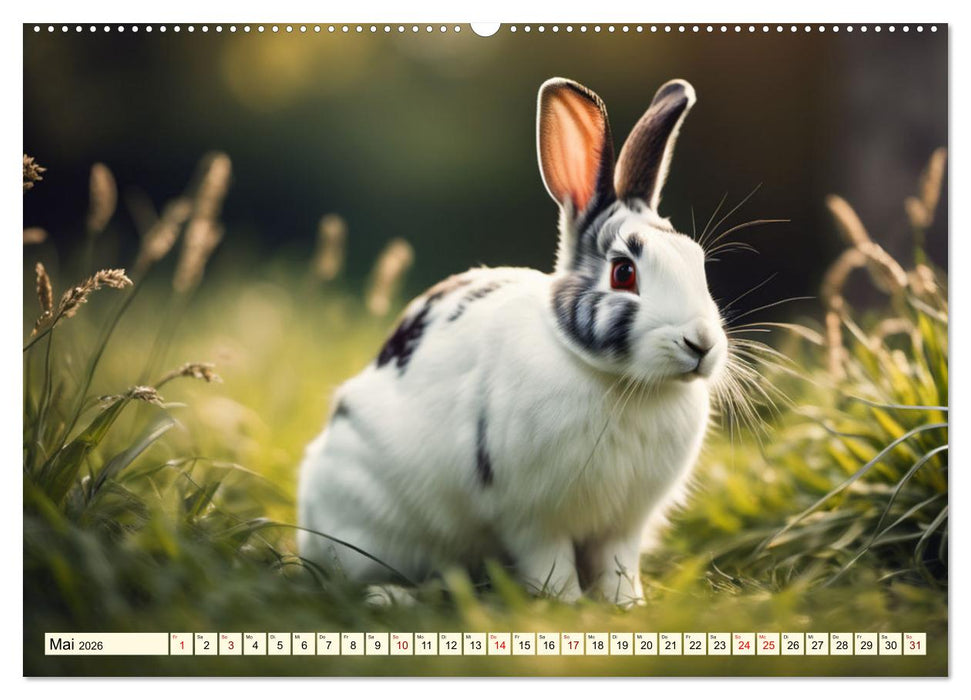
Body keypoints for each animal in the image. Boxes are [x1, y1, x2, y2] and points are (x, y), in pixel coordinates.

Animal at [297, 76, 728, 606]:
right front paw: (566, 606)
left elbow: (619, 567)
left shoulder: (622, 525)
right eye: (624, 273)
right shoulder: (534, 520)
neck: (621, 381)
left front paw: (627, 607)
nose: (701, 343)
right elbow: (551, 564)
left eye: (697, 260)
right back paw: (391, 596)